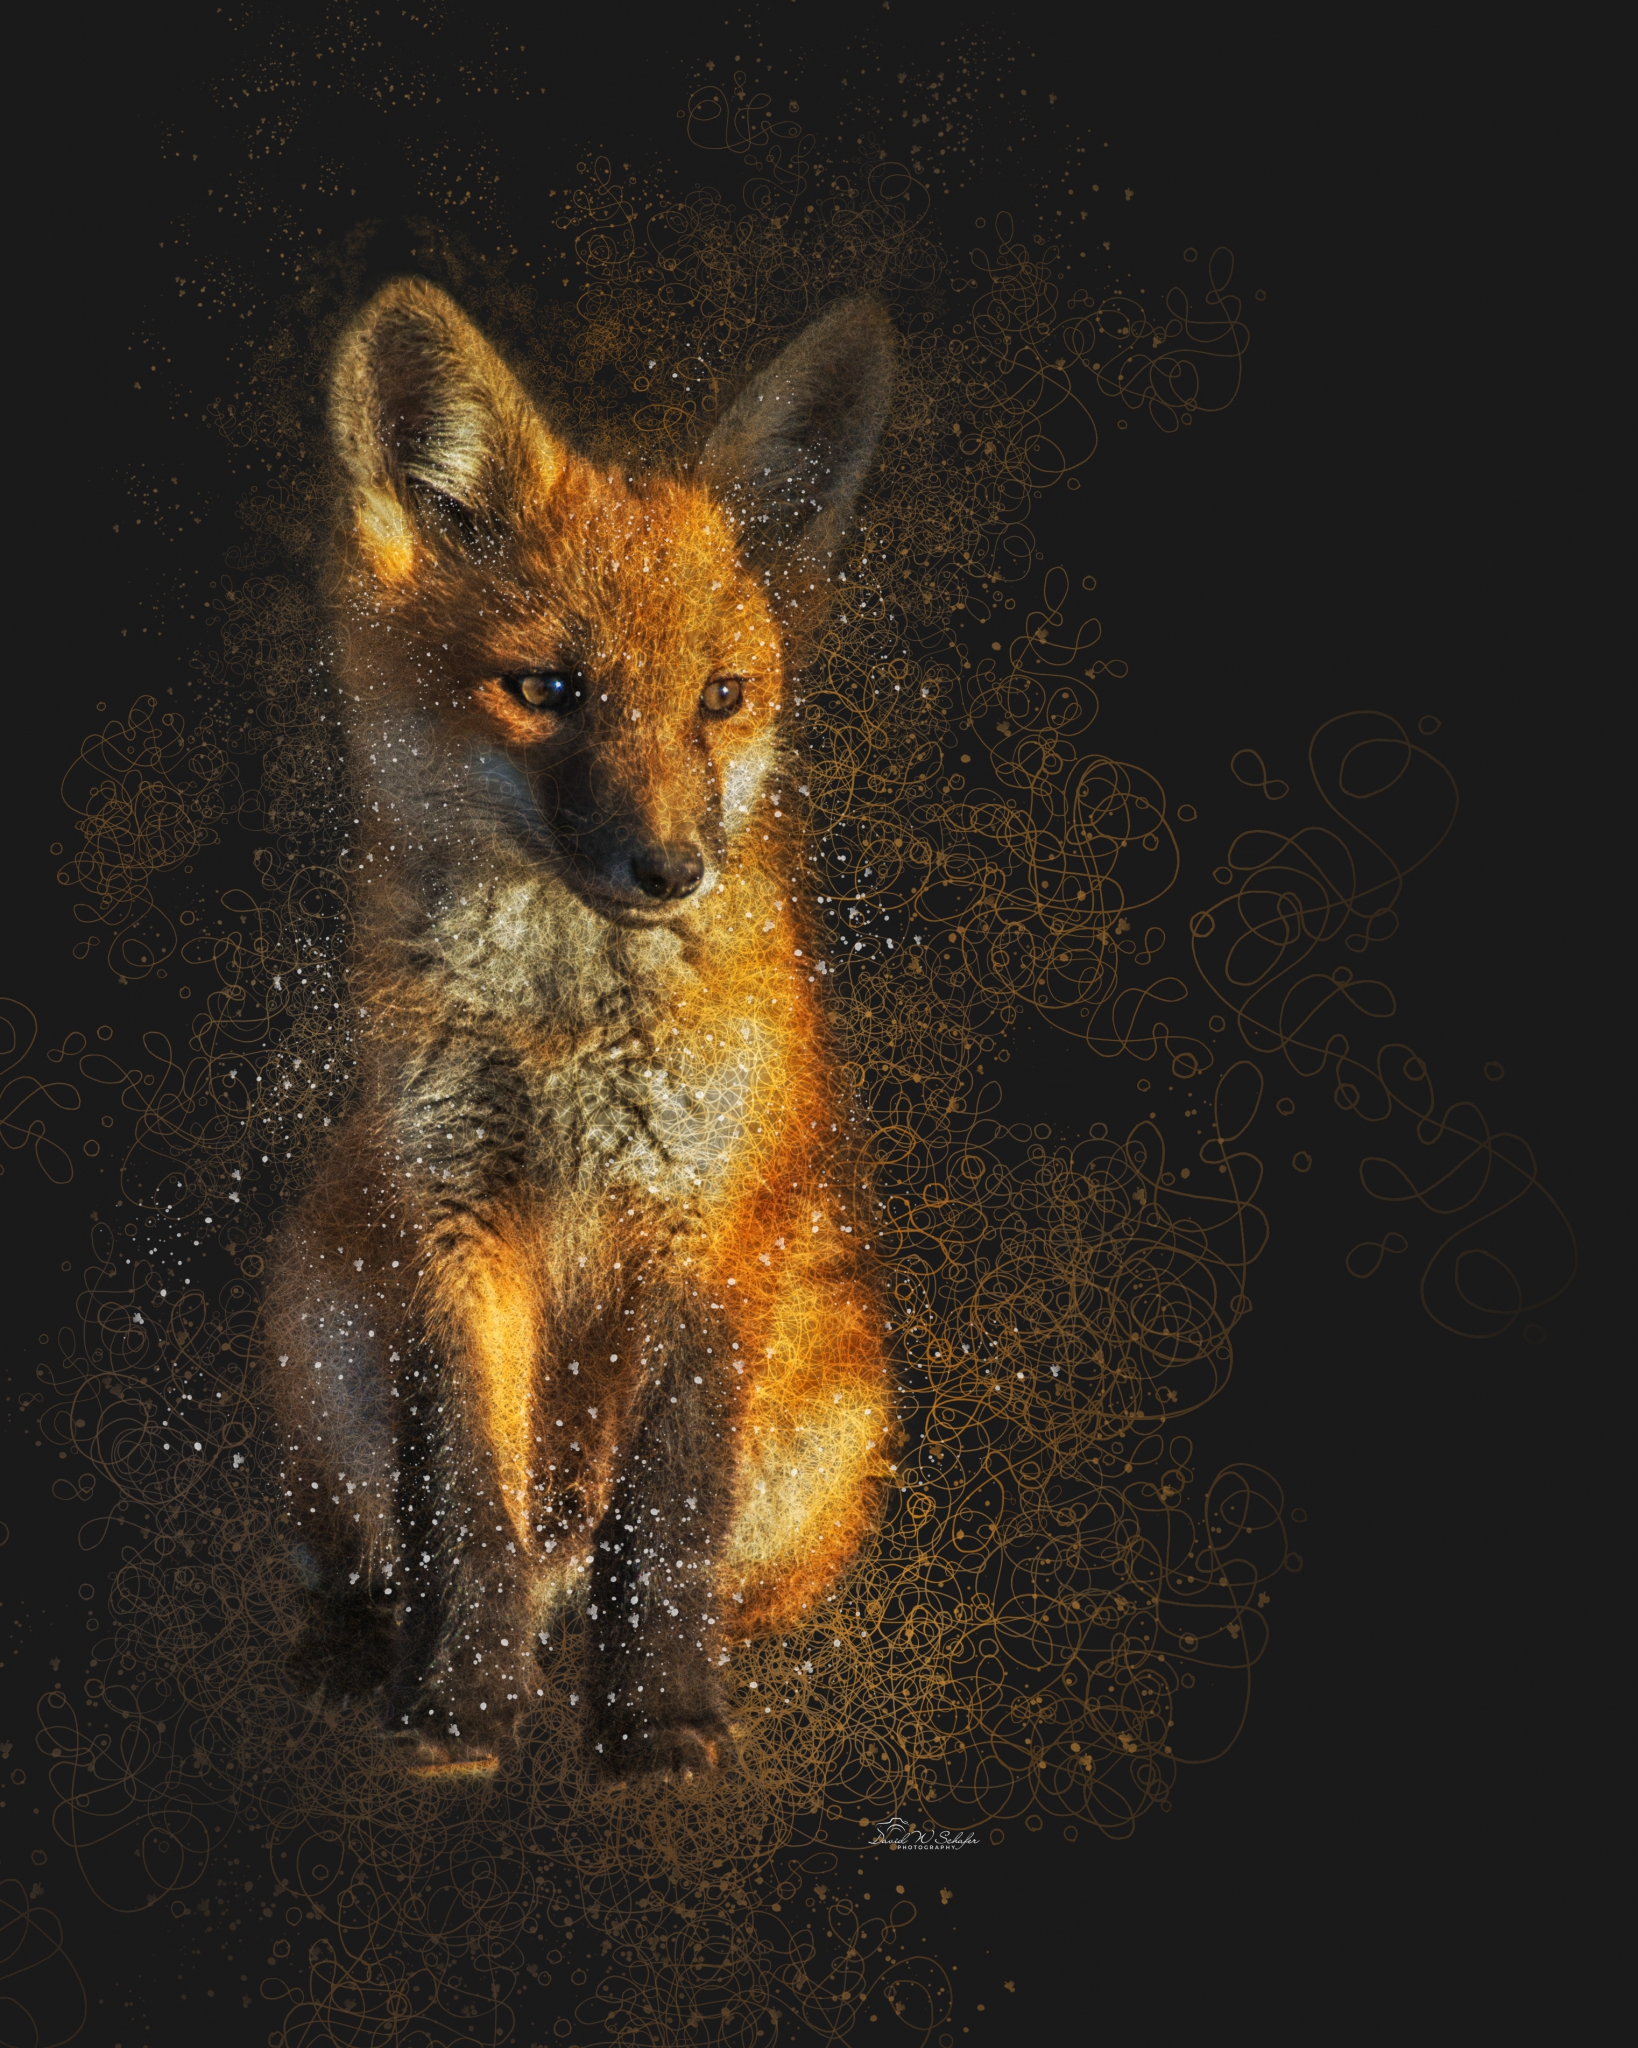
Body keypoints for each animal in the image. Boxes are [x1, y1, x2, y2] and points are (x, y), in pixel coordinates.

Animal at [264, 276, 898, 1779]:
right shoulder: (450, 1223)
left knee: (671, 1573)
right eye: (547, 690)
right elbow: (465, 1512)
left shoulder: (702, 1236)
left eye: (721, 698)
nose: (672, 870)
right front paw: (461, 1712)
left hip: (842, 1403)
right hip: (316, 1302)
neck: (561, 1040)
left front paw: (658, 1721)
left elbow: (661, 1525)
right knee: (373, 1553)